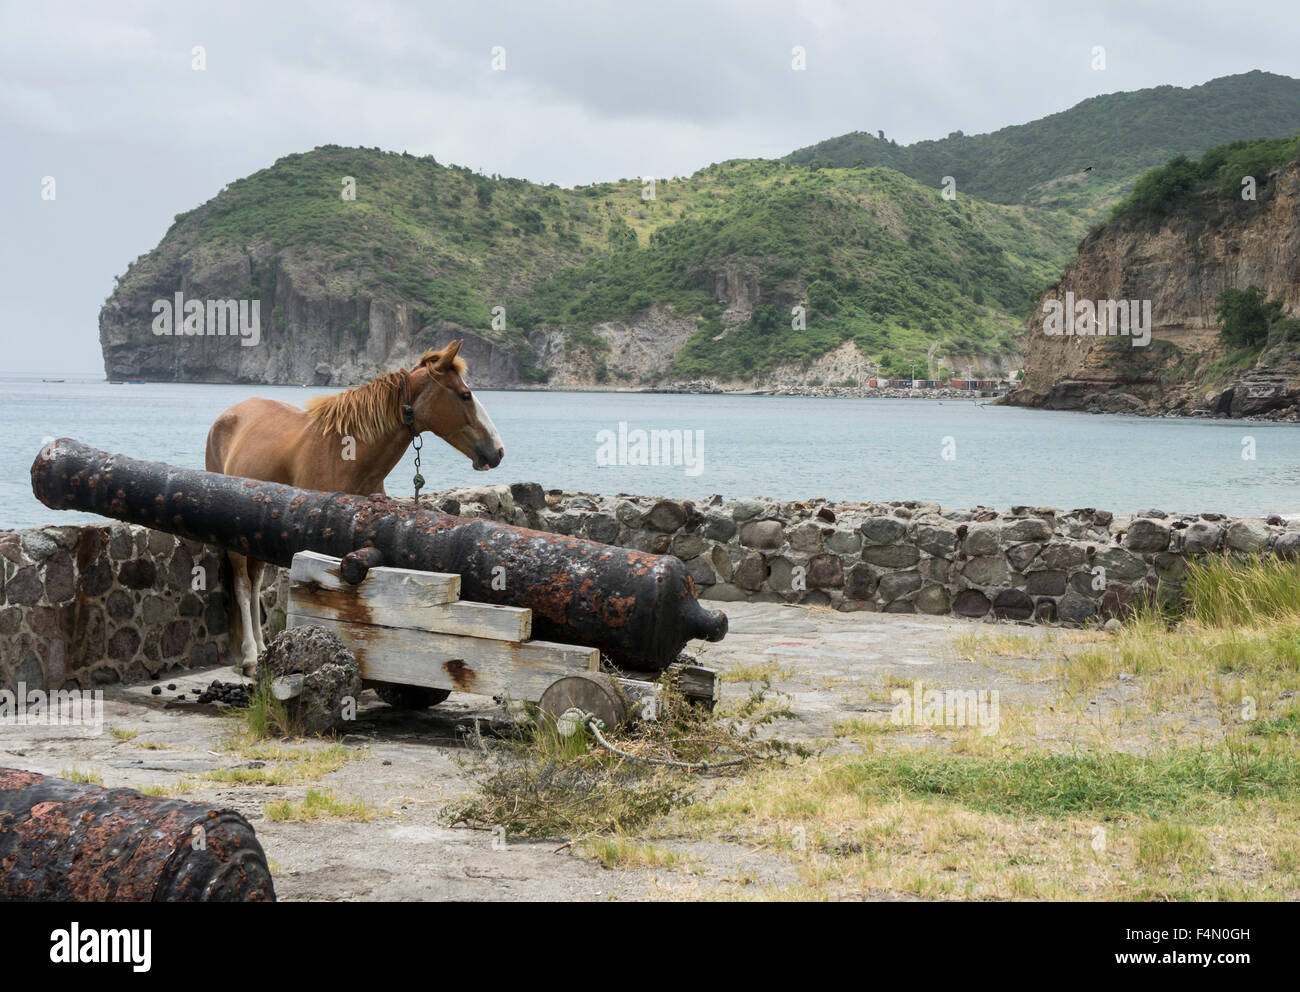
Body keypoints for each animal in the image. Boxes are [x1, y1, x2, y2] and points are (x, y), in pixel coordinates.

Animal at [205, 340, 504, 676]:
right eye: (465, 395)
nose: (498, 451)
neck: (345, 454)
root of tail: (227, 417)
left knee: (255, 583)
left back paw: (261, 647)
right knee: (243, 586)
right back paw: (250, 655)